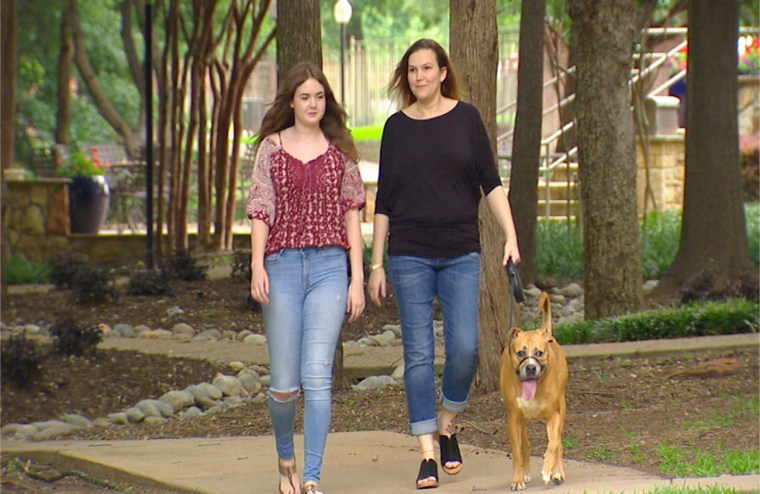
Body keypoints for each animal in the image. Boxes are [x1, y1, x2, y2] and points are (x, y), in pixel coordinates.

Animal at [502, 292, 568, 488]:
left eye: (539, 353)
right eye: (521, 353)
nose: (531, 367)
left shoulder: (554, 416)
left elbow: (553, 444)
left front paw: (548, 470)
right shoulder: (514, 419)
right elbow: (517, 452)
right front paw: (517, 478)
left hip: (562, 409)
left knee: (558, 442)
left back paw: (557, 472)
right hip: (521, 421)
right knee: (525, 445)